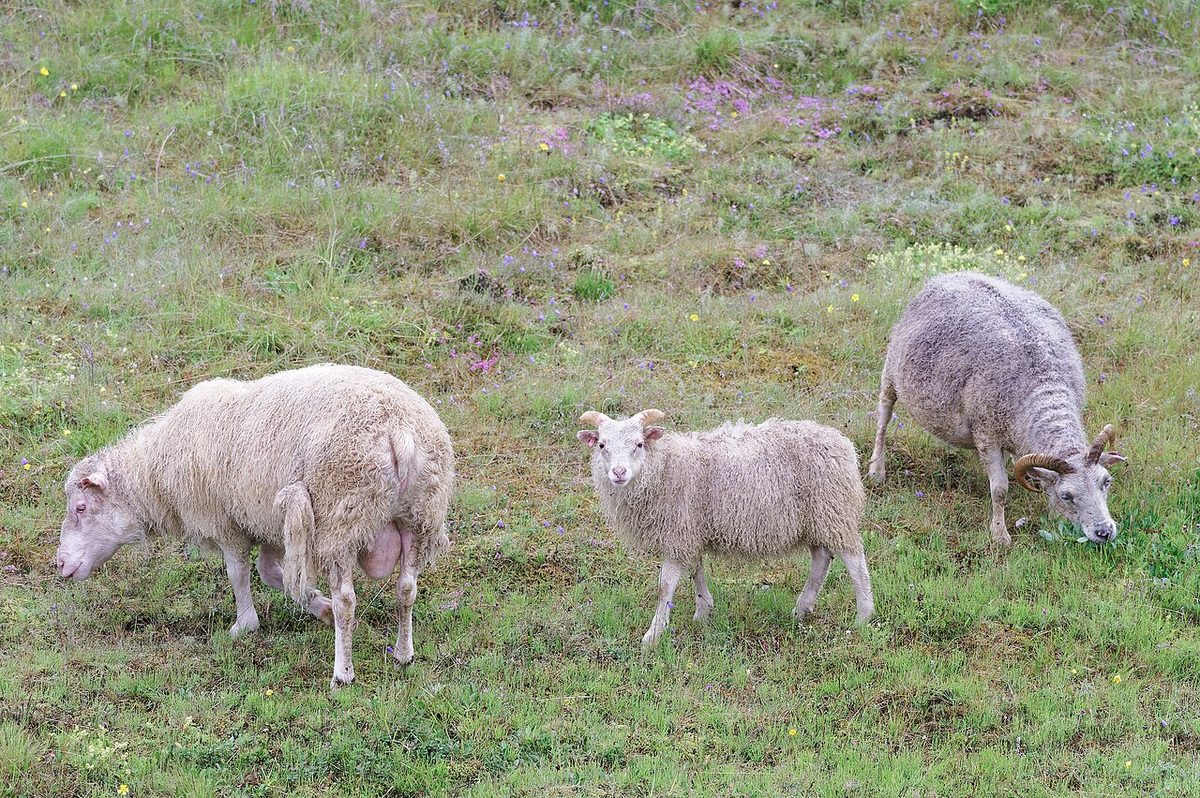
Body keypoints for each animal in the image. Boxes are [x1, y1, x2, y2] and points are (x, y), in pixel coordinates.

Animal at [55, 364, 454, 689]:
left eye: (80, 507)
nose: (59, 564)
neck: (157, 471)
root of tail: (399, 432)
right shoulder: (267, 522)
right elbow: (271, 573)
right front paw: (315, 605)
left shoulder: (225, 522)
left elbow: (238, 574)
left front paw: (244, 624)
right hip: (419, 514)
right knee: (406, 588)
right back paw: (403, 654)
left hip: (343, 515)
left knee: (348, 600)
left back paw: (343, 672)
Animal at [576, 409, 874, 649]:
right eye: (602, 445)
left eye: (638, 444)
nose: (618, 473)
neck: (663, 468)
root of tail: (842, 443)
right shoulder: (689, 530)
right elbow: (695, 570)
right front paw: (703, 611)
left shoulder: (678, 530)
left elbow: (665, 586)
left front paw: (653, 634)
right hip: (816, 519)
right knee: (821, 559)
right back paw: (801, 609)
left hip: (835, 511)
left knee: (855, 561)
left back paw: (863, 615)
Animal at [867, 272, 1127, 545]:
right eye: (1067, 495)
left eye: (1106, 481)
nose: (1104, 532)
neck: (1044, 387)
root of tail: (953, 274)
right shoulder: (986, 435)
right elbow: (1000, 489)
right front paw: (1000, 534)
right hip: (891, 371)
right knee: (883, 416)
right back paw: (876, 470)